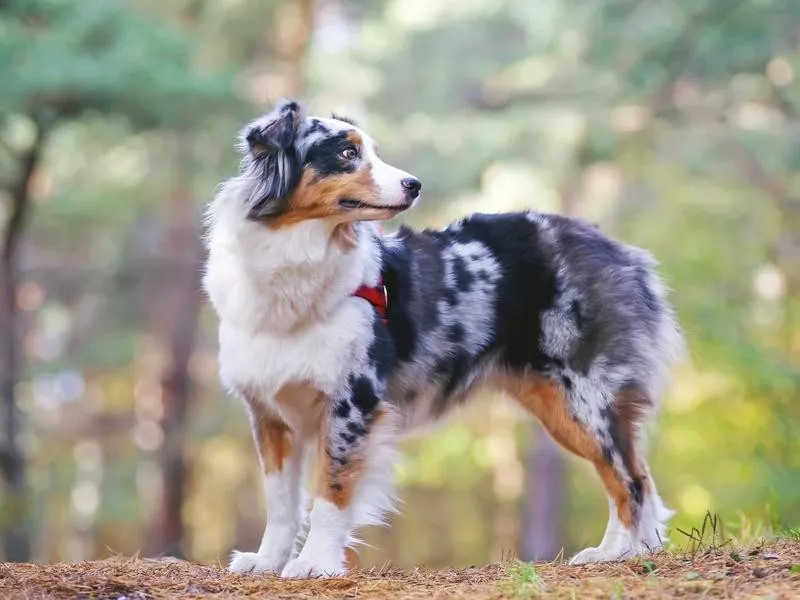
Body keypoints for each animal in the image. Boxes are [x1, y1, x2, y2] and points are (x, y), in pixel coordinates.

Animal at [203, 101, 684, 580]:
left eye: (373, 152)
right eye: (346, 153)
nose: (414, 185)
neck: (296, 257)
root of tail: (618, 250)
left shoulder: (353, 402)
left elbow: (331, 491)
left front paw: (314, 563)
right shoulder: (270, 412)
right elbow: (281, 502)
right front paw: (267, 560)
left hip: (585, 397)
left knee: (630, 479)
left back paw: (616, 553)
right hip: (558, 403)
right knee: (634, 476)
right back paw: (629, 551)